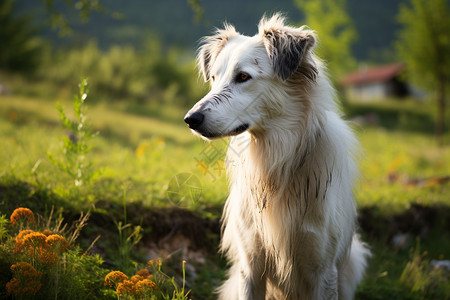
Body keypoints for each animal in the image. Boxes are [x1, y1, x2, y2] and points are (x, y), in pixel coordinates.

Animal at [184, 13, 370, 298]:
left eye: (243, 76)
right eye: (214, 77)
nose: (190, 119)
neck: (275, 159)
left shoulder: (323, 269)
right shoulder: (250, 265)